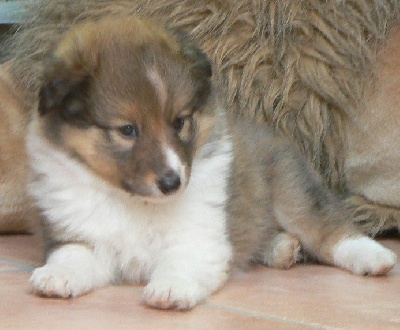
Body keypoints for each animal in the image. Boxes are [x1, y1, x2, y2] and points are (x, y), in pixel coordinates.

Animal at [28, 15, 396, 310]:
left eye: (179, 121)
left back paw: (374, 257)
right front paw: (54, 276)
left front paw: (170, 288)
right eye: (127, 130)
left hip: (292, 192)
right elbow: (71, 255)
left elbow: (182, 260)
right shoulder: (81, 237)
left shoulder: (200, 235)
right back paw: (281, 248)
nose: (172, 183)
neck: (134, 201)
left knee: (329, 229)